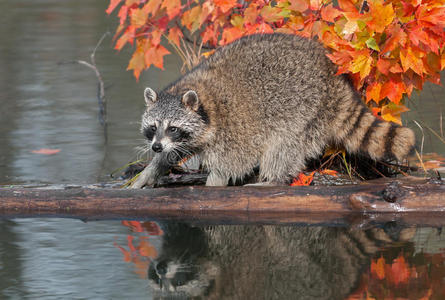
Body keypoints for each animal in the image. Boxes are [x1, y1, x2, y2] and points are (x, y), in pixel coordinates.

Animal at [130, 32, 414, 188]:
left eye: (173, 128)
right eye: (153, 128)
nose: (156, 146)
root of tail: (332, 76)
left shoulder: (234, 126)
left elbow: (234, 161)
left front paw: (215, 181)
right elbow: (176, 152)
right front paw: (152, 169)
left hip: (306, 107)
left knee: (283, 145)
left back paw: (273, 179)